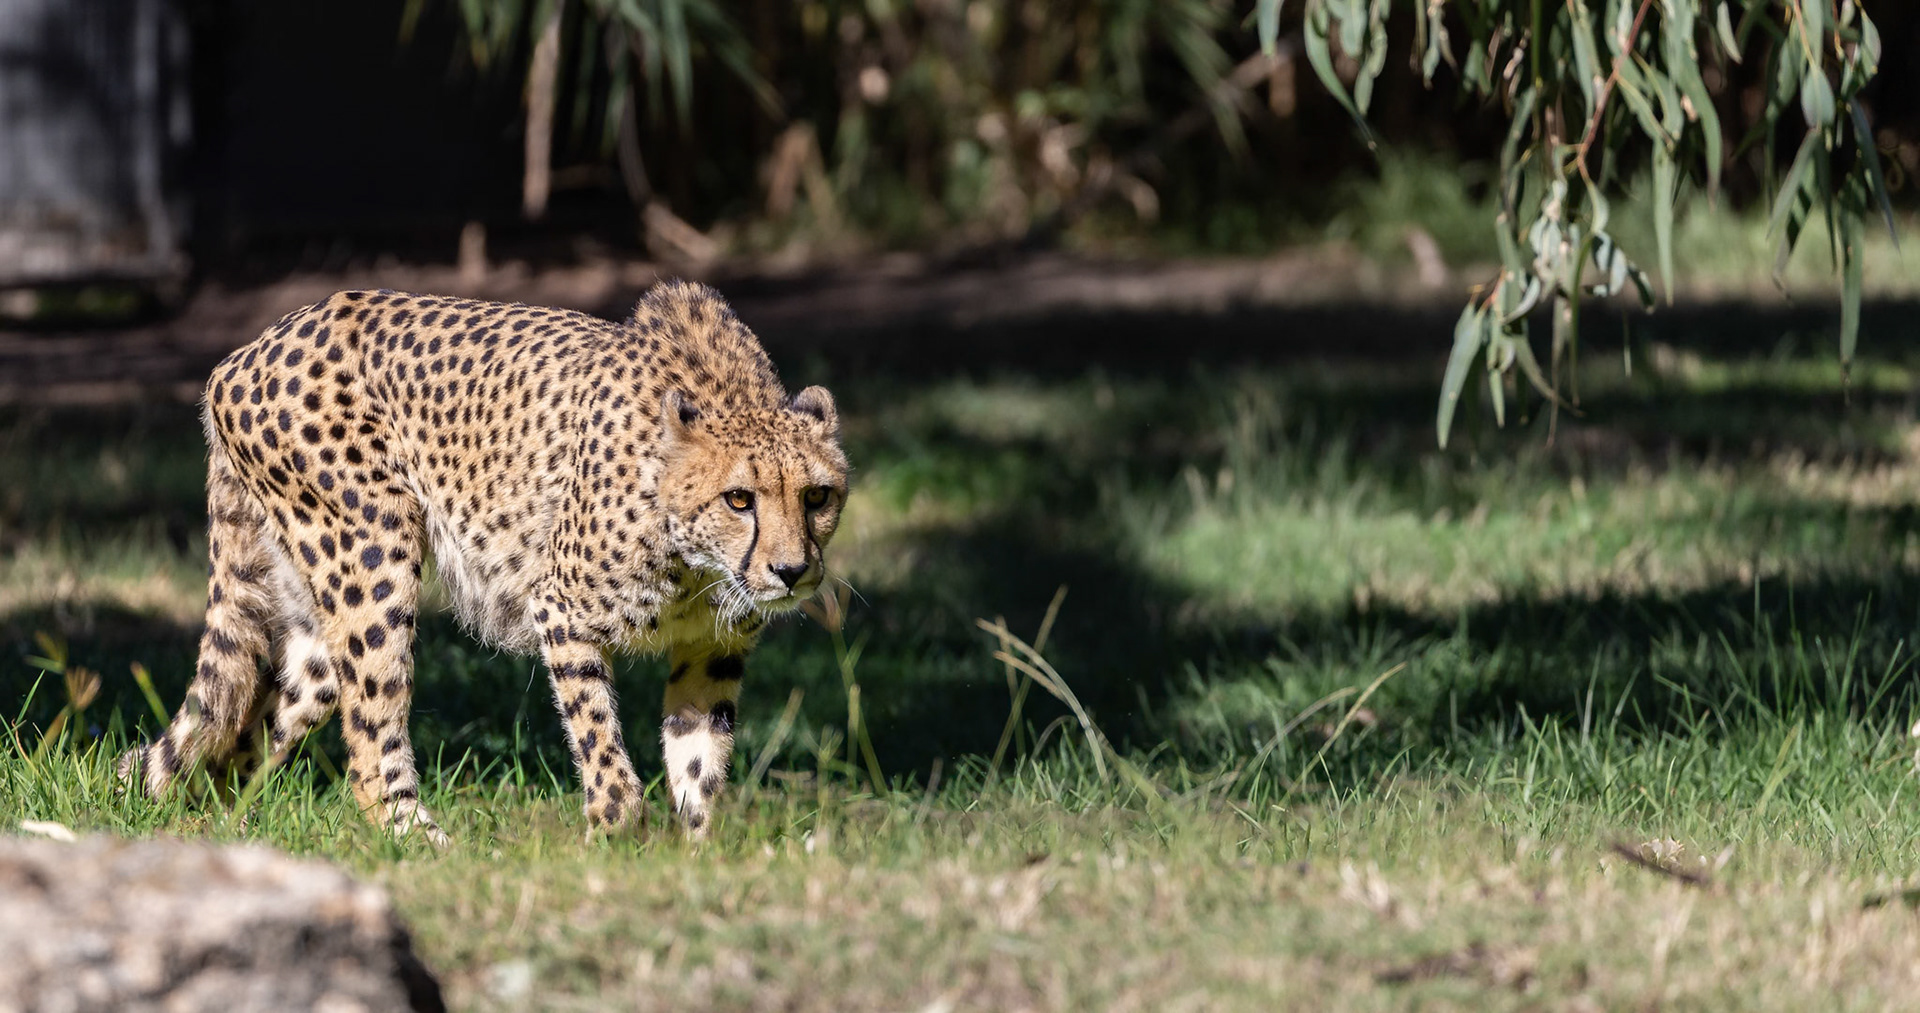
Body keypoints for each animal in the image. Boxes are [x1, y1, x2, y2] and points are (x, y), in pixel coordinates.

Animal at [118, 280, 848, 843]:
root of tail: (245, 352)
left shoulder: (712, 649)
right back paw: (417, 842)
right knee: (368, 735)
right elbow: (600, 740)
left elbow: (699, 760)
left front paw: (694, 854)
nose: (792, 572)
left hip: (314, 627)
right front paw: (615, 839)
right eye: (739, 498)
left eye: (817, 496)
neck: (697, 562)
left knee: (245, 728)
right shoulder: (561, 608)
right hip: (373, 555)